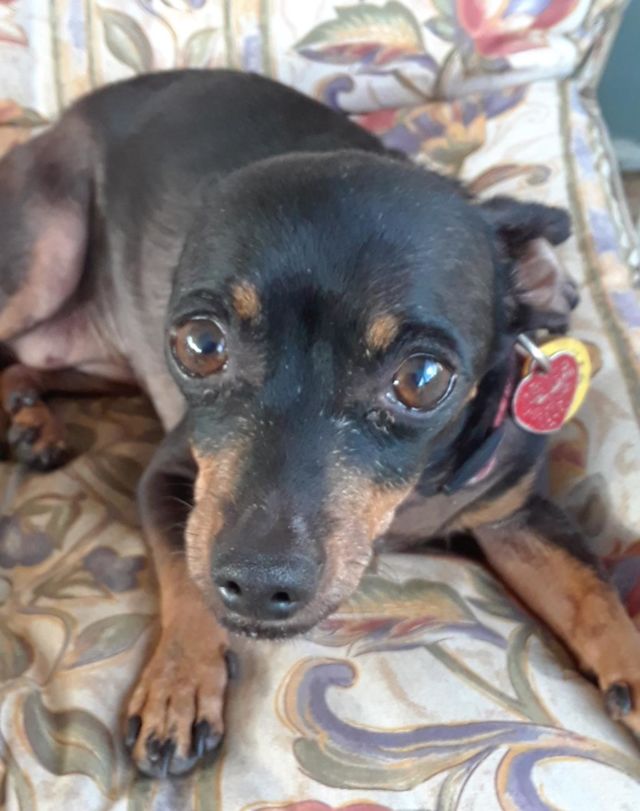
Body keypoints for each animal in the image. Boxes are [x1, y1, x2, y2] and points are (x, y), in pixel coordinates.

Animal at [0, 69, 638, 778]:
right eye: (200, 344)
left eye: (423, 379)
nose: (257, 584)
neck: (412, 497)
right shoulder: (168, 480)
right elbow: (189, 583)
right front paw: (178, 686)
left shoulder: (519, 517)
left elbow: (595, 596)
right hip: (45, 260)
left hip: (101, 356)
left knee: (30, 361)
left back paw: (31, 420)